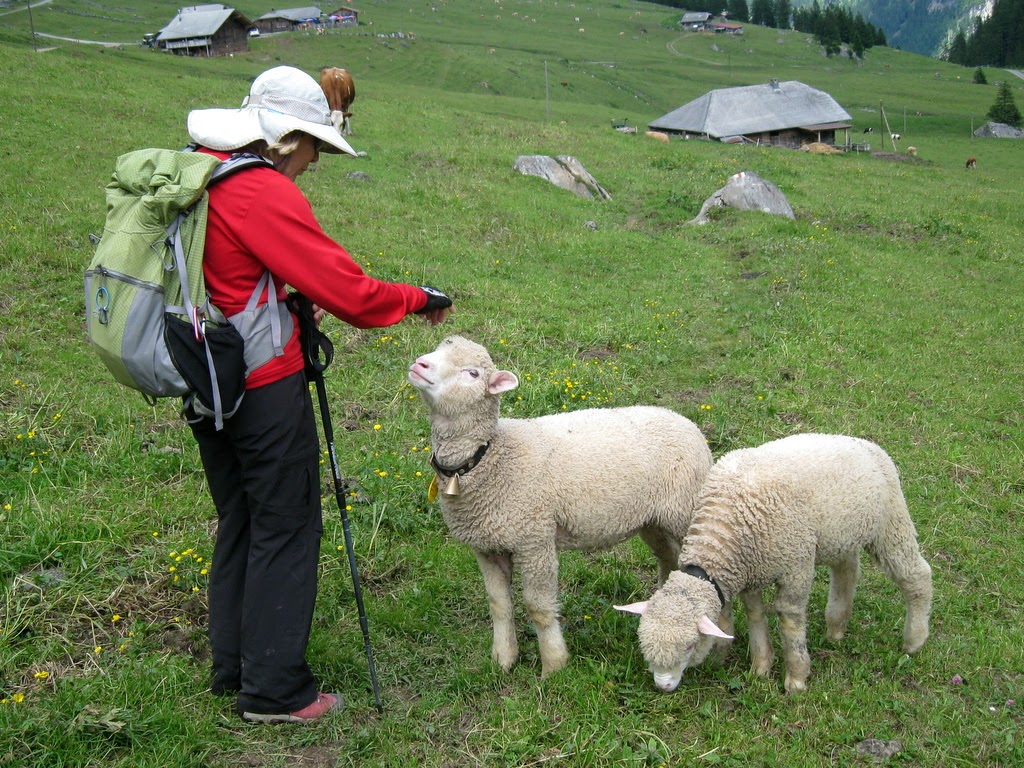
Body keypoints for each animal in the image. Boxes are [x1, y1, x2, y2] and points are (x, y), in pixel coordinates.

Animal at [407, 335, 712, 679]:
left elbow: (539, 608)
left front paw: (554, 666)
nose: (420, 364)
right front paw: (503, 659)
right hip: (653, 520)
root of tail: (684, 420)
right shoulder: (486, 546)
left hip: (686, 510)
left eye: (472, 373)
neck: (488, 457)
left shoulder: (534, 541)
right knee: (668, 558)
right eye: (439, 347)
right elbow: (499, 605)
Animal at [614, 436, 937, 696]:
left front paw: (796, 678)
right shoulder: (749, 573)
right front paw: (760, 666)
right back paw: (836, 628)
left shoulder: (797, 567)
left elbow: (789, 620)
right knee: (847, 570)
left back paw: (915, 640)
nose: (663, 686)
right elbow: (755, 614)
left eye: (690, 646)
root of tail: (863, 443)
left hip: (890, 523)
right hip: (840, 535)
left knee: (916, 575)